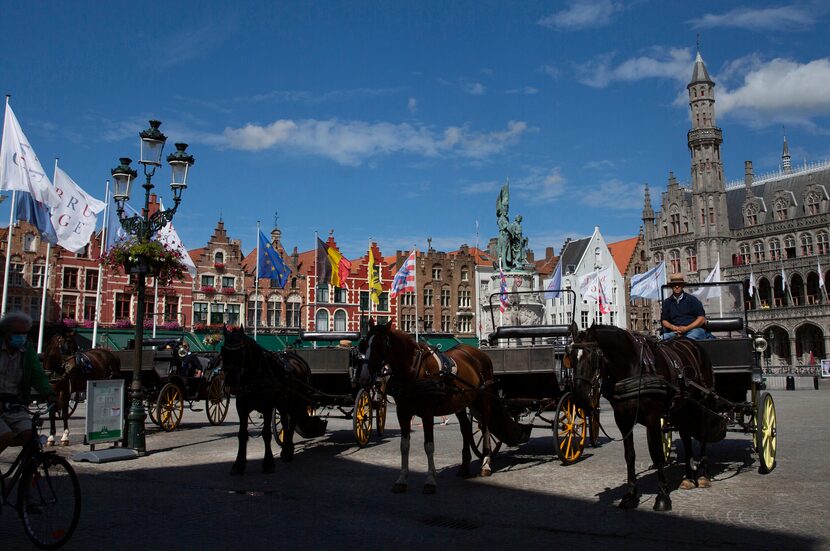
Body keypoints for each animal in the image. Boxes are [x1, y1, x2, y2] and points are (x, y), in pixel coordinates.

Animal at [223, 328, 316, 474]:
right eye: (223, 351)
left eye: (242, 351)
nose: (230, 381)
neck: (254, 376)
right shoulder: (241, 407)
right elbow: (242, 434)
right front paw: (239, 464)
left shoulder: (267, 407)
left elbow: (266, 434)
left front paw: (268, 463)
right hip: (283, 403)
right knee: (285, 423)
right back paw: (287, 450)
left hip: (295, 401)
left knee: (292, 422)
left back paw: (288, 452)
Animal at [362, 322, 494, 494]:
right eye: (364, 344)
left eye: (379, 345)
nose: (364, 376)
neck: (413, 371)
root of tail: (479, 352)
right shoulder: (402, 412)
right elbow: (404, 445)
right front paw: (401, 479)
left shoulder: (427, 412)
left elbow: (429, 446)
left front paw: (430, 480)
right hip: (461, 402)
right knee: (466, 429)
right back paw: (464, 467)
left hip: (483, 399)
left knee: (485, 428)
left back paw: (485, 465)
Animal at [572, 326, 728, 512]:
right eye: (570, 357)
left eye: (593, 358)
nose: (579, 397)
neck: (632, 367)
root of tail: (692, 344)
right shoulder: (622, 419)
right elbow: (629, 455)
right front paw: (631, 495)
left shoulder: (652, 417)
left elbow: (657, 453)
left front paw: (663, 497)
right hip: (683, 409)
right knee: (686, 438)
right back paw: (689, 478)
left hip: (706, 402)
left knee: (704, 434)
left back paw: (703, 475)